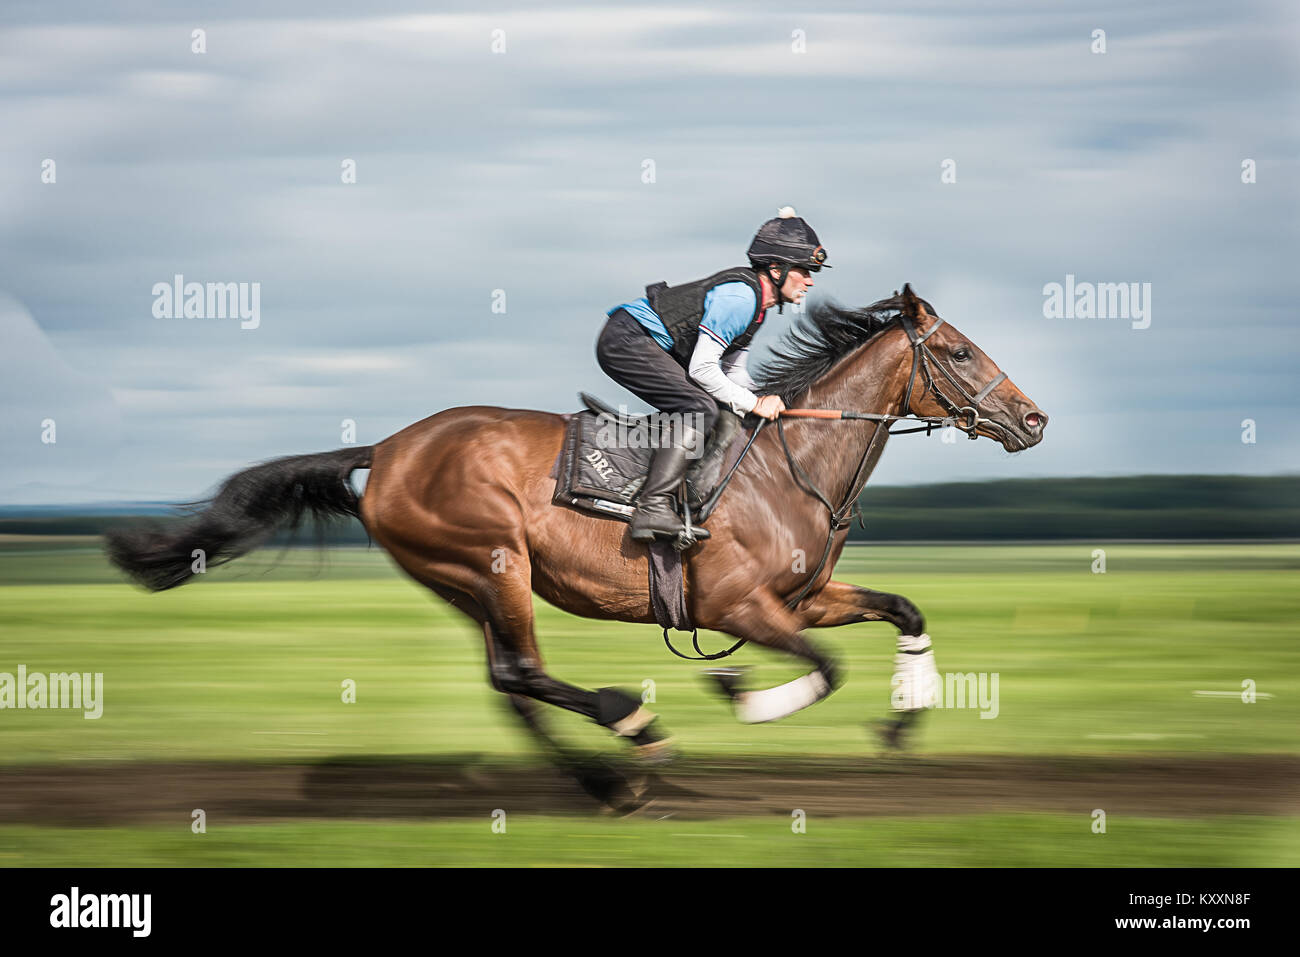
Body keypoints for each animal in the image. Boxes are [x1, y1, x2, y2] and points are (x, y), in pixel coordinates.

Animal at [106, 284, 1046, 784]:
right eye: (959, 351)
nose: (1034, 417)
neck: (793, 466)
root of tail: (389, 448)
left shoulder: (805, 596)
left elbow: (905, 608)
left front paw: (903, 723)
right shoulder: (741, 606)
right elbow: (824, 667)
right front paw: (740, 694)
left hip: (468, 581)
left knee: (509, 682)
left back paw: (603, 779)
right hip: (491, 562)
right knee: (523, 671)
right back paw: (630, 730)